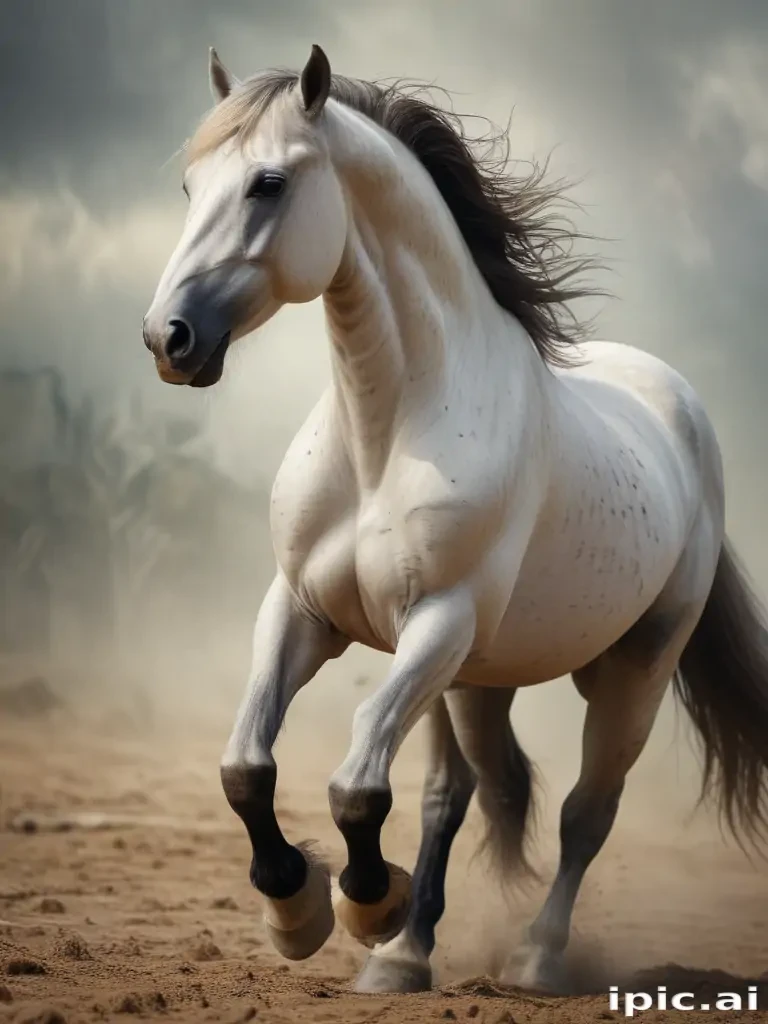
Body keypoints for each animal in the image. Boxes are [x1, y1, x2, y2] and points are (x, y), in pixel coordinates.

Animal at [142, 44, 768, 994]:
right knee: (456, 792)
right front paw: (298, 910)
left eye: (268, 184)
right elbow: (247, 765)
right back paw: (403, 958)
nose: (168, 338)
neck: (386, 435)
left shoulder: (440, 621)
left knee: (588, 811)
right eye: (189, 186)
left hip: (633, 667)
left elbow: (358, 782)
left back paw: (533, 958)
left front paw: (366, 901)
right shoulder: (303, 611)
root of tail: (681, 411)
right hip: (475, 679)